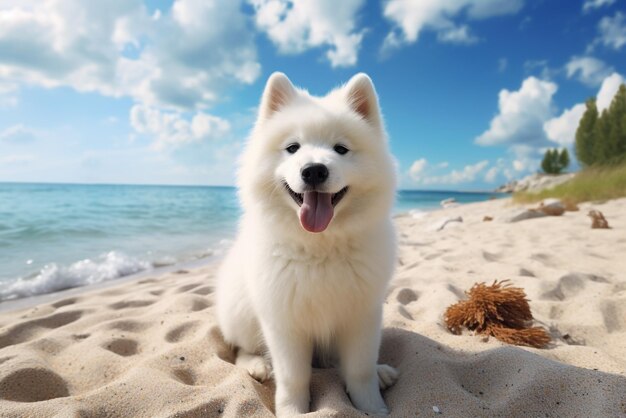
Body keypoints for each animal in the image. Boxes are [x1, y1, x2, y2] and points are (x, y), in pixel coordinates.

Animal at [217, 72, 398, 414]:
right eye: (293, 148)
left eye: (341, 149)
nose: (314, 170)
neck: (319, 247)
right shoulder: (283, 323)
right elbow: (293, 378)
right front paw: (293, 411)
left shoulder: (363, 316)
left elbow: (360, 369)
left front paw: (372, 407)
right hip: (242, 314)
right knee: (240, 349)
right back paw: (258, 365)